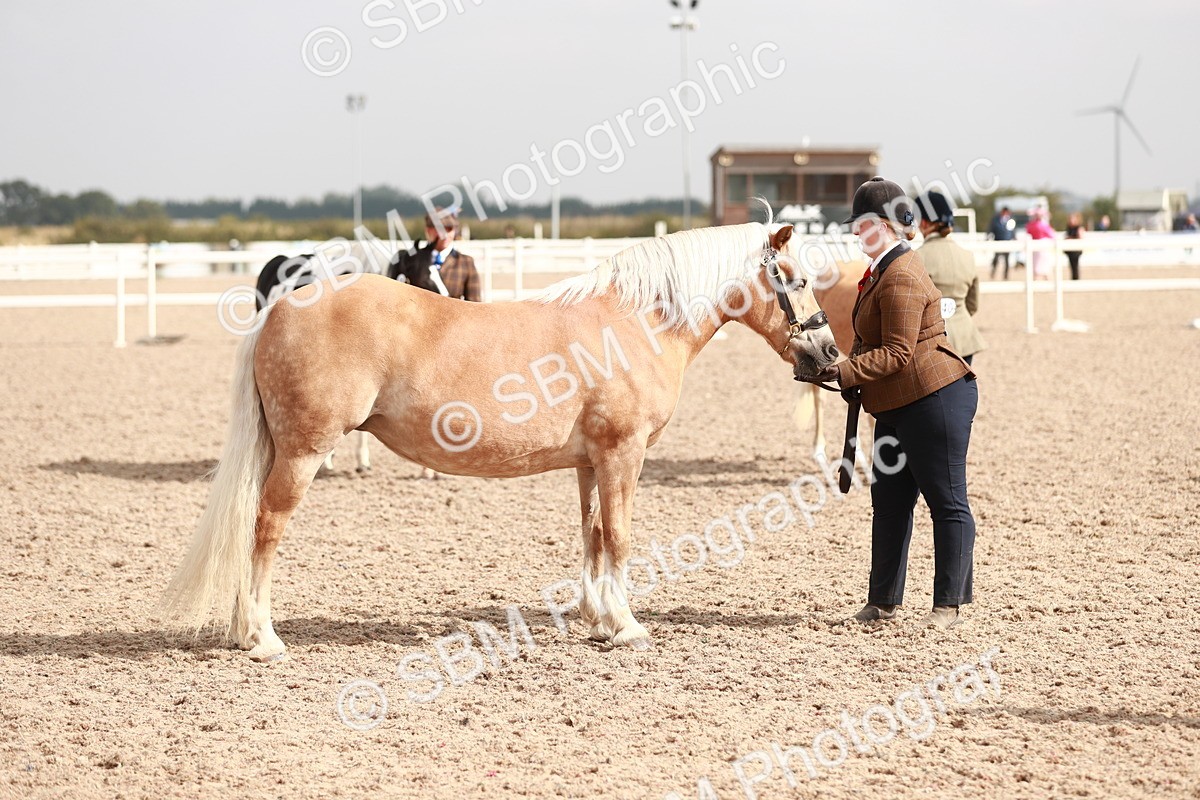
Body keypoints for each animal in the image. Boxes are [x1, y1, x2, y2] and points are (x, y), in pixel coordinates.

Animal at [166, 222, 839, 662]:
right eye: (797, 279)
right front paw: (626, 625)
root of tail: (279, 308)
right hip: (304, 453)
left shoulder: (591, 461)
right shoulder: (623, 453)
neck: (637, 321)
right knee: (264, 529)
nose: (830, 354)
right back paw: (262, 638)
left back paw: (242, 630)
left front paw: (598, 619)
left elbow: (594, 535)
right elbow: (621, 537)